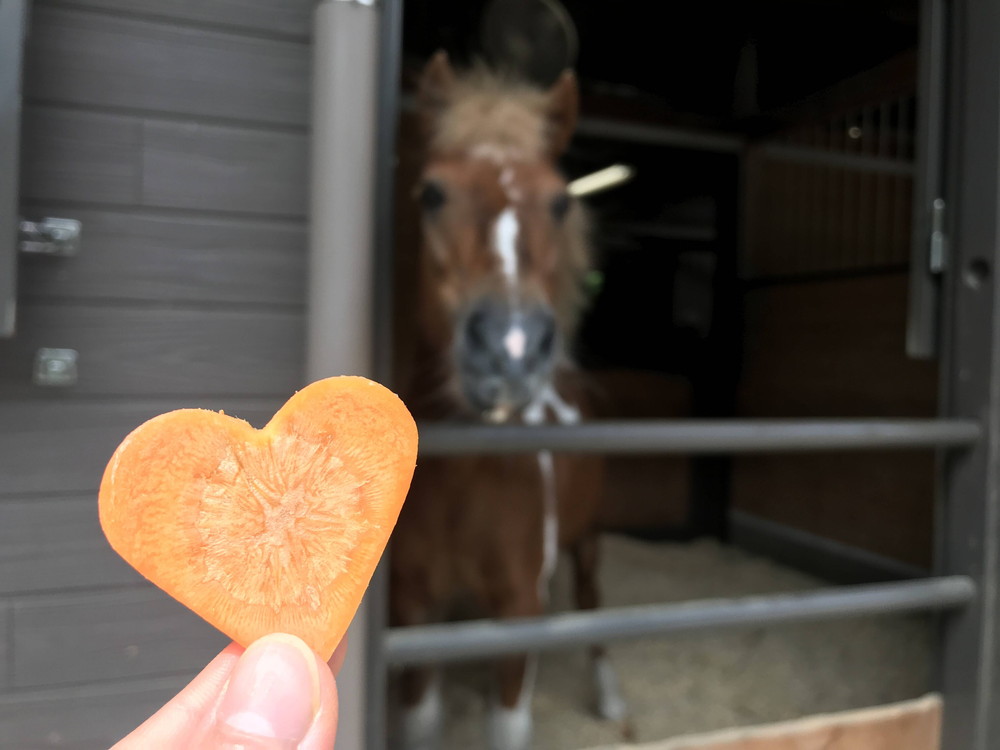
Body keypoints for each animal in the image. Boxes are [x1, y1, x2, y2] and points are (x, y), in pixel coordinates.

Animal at [388, 54, 624, 750]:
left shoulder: (519, 611)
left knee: (593, 600)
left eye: (561, 200)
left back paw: (610, 697)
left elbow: (509, 720)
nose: (512, 348)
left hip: (589, 538)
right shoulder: (414, 610)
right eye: (431, 192)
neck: (468, 478)